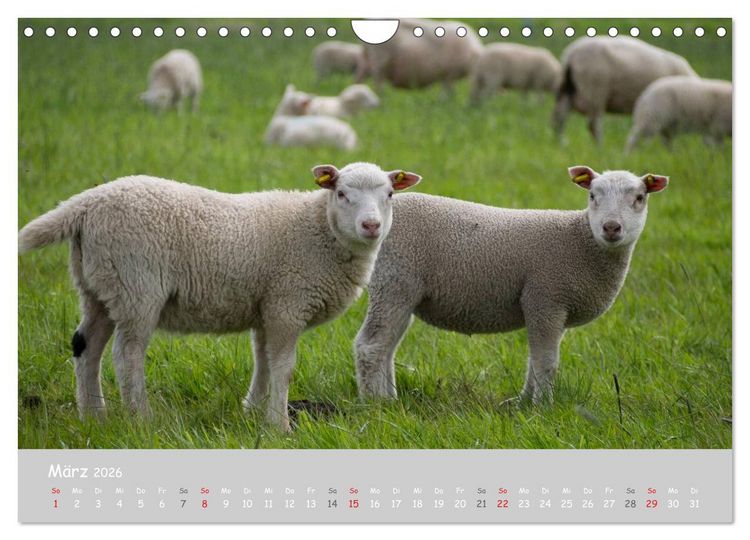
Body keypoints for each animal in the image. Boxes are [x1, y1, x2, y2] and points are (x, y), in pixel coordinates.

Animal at [18, 163, 423, 431]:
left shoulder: (266, 305)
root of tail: (86, 203)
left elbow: (262, 361)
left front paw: (253, 410)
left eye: (389, 195)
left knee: (86, 346)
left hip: (98, 286)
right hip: (137, 285)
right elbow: (283, 366)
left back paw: (93, 417)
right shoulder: (287, 303)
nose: (371, 226)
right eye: (341, 194)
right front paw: (279, 425)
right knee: (126, 354)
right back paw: (141, 419)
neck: (318, 229)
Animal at [355, 166, 668, 404]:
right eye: (592, 195)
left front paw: (524, 402)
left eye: (640, 198)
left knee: (387, 346)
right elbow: (546, 363)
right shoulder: (545, 297)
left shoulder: (552, 308)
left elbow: (535, 361)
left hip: (402, 292)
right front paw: (543, 408)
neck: (580, 240)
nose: (611, 227)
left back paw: (390, 398)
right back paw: (375, 403)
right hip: (394, 281)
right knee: (371, 346)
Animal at [553, 37, 697, 142]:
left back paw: (561, 142)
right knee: (593, 124)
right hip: (594, 90)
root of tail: (571, 54)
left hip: (568, 88)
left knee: (559, 116)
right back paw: (600, 147)